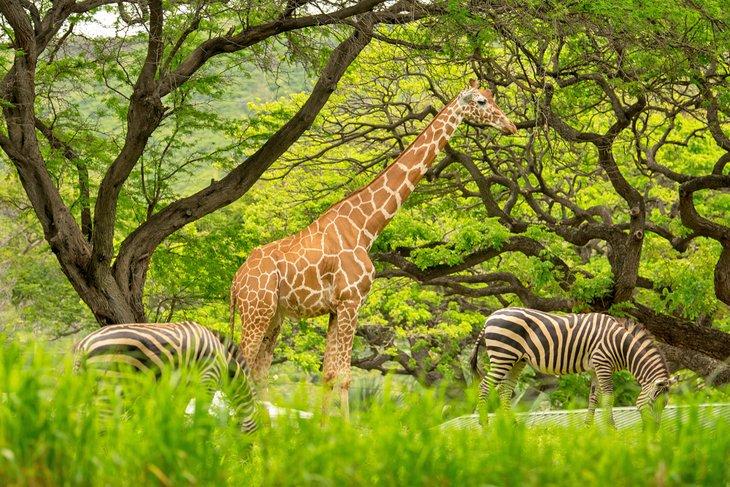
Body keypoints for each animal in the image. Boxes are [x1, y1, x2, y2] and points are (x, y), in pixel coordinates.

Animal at [73, 321, 260, 433]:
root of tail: (84, 345)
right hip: (109, 388)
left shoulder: (184, 390)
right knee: (101, 426)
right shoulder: (208, 380)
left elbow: (176, 416)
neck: (224, 360)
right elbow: (201, 420)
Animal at [230, 79, 517, 418]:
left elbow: (329, 373)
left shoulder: (336, 307)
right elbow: (344, 375)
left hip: (275, 315)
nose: (511, 125)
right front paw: (344, 428)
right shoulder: (351, 301)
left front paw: (324, 427)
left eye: (493, 97)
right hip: (256, 310)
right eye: (481, 101)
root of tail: (235, 281)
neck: (364, 228)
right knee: (241, 366)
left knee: (258, 371)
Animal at [470, 307, 675, 425]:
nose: (654, 431)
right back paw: (484, 422)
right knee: (485, 385)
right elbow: (608, 395)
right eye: (655, 402)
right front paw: (611, 427)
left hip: (516, 360)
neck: (621, 345)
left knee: (505, 390)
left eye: (665, 404)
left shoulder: (595, 368)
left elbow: (593, 397)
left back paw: (511, 424)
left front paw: (588, 426)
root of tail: (490, 317)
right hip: (503, 355)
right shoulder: (603, 363)